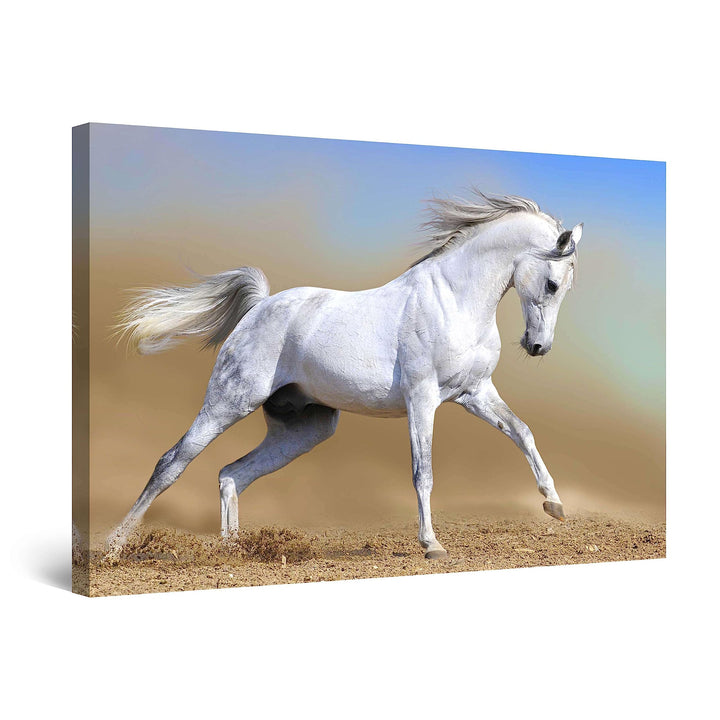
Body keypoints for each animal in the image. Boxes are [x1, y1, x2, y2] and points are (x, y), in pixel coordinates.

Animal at [105, 191, 583, 561]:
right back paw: (115, 546)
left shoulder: (474, 393)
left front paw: (554, 504)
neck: (454, 300)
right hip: (228, 402)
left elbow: (522, 432)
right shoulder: (422, 399)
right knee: (171, 463)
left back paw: (233, 550)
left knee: (231, 474)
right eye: (553, 284)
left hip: (304, 430)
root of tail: (260, 307)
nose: (538, 346)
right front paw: (431, 545)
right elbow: (423, 472)